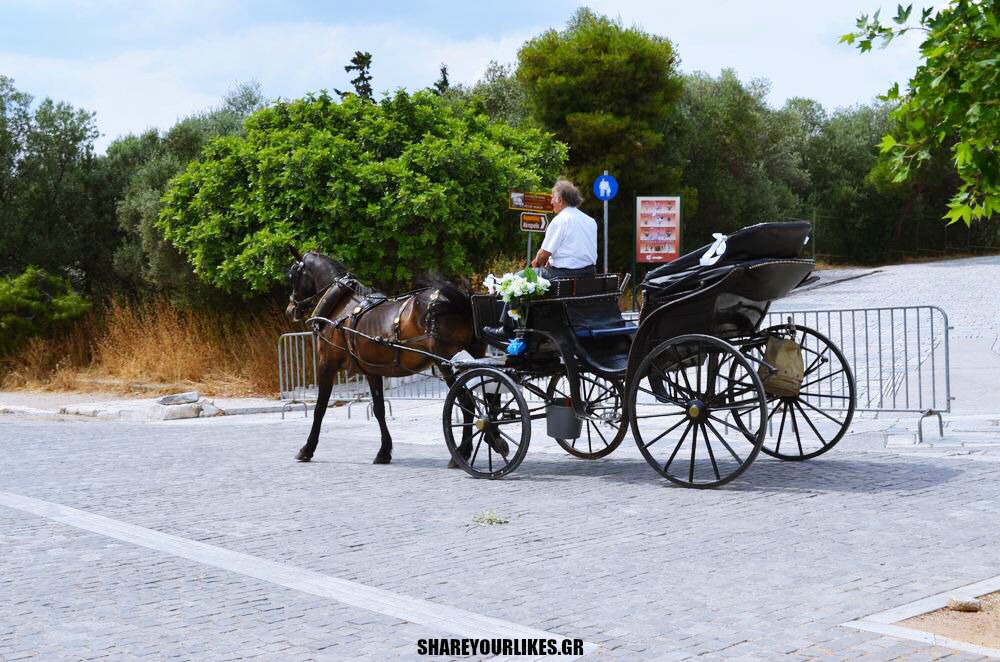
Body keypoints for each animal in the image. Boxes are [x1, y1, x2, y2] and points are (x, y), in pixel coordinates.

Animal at [286, 249, 484, 466]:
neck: (341, 307)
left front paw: (307, 449)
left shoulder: (326, 365)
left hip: (446, 362)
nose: (290, 309)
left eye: (292, 276)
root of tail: (459, 301)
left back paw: (462, 453)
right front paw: (384, 451)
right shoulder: (371, 370)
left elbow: (320, 408)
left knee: (465, 402)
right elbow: (379, 409)